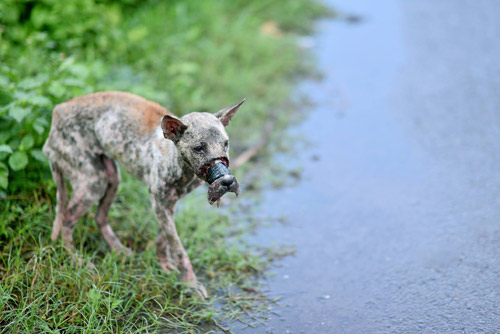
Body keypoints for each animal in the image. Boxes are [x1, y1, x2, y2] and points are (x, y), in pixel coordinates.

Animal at [44, 90, 245, 296]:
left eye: (226, 144)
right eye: (198, 148)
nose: (227, 181)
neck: (177, 162)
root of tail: (57, 112)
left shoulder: (168, 205)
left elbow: (163, 239)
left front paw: (165, 265)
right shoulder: (159, 204)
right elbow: (178, 248)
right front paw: (191, 284)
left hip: (111, 177)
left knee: (99, 217)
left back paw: (119, 250)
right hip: (93, 183)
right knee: (67, 220)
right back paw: (77, 260)